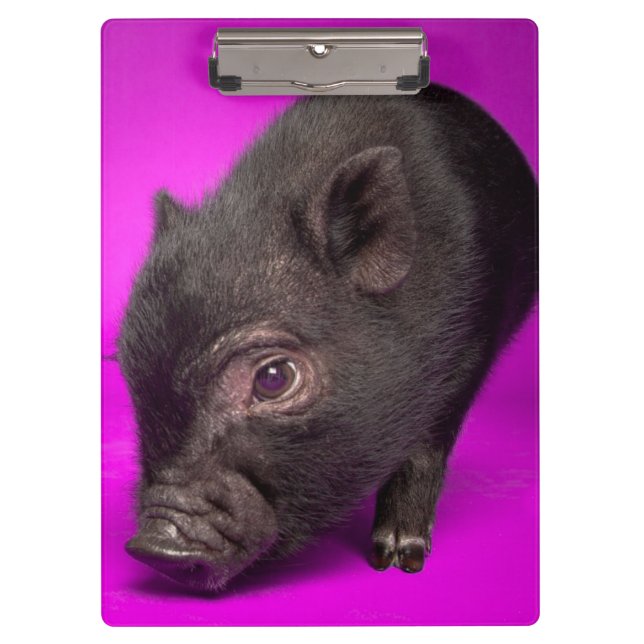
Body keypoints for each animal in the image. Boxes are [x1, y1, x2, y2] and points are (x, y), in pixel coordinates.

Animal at [118, 83, 537, 592]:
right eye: (132, 375)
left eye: (274, 378)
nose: (151, 545)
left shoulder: (467, 356)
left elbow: (423, 452)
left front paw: (396, 559)